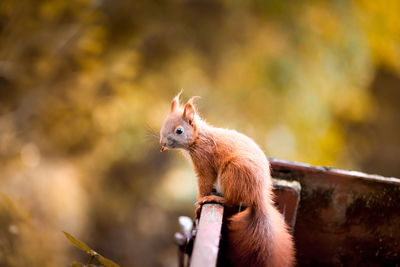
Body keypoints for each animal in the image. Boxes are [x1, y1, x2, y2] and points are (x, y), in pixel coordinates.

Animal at [159, 92, 294, 267]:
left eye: (179, 131)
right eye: (163, 124)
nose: (162, 143)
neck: (198, 138)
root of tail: (257, 196)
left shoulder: (205, 163)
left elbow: (204, 183)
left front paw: (199, 203)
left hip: (233, 172)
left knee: (232, 200)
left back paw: (215, 198)